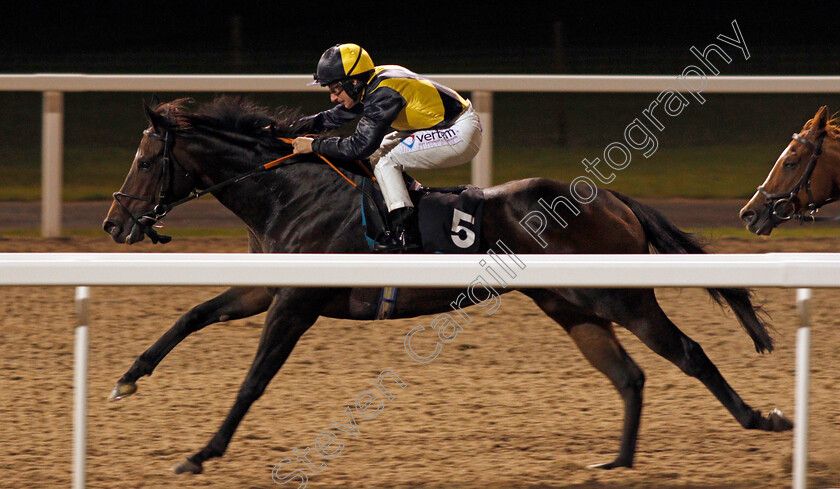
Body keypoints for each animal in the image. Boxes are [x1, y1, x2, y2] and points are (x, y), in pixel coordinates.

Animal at [101, 95, 792, 472]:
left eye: (144, 161)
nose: (114, 223)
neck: (289, 194)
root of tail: (613, 197)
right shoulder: (267, 289)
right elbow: (192, 315)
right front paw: (127, 378)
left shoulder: (296, 302)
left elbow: (252, 381)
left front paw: (201, 452)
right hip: (569, 306)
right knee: (629, 375)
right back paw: (617, 461)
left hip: (620, 297)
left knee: (689, 354)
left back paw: (761, 419)